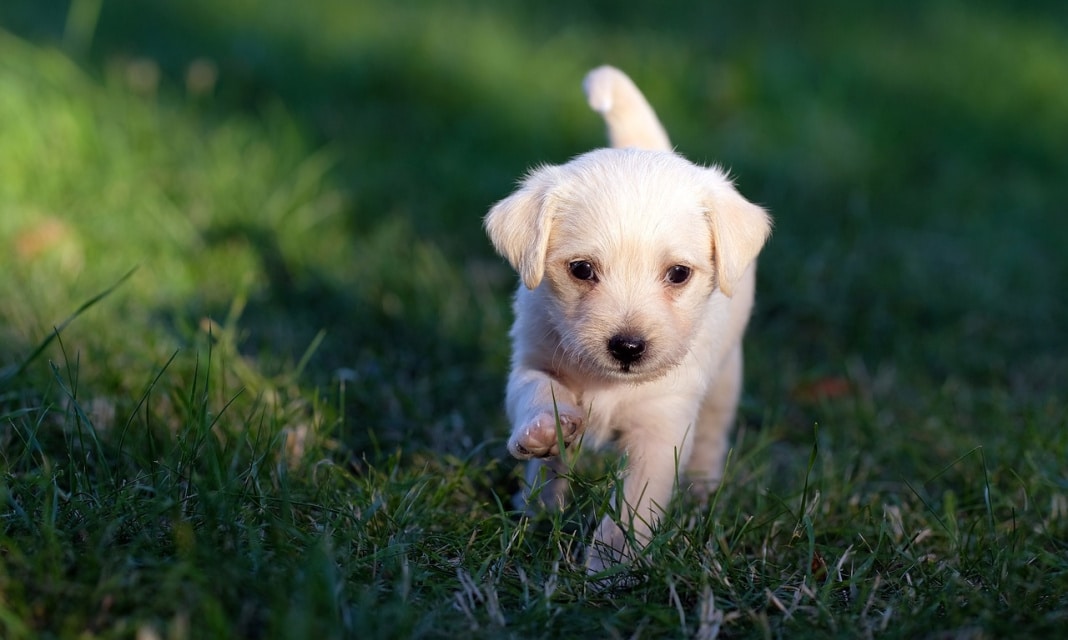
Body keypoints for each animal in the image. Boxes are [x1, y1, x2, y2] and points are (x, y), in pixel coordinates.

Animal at [482, 65, 768, 572]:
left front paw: (610, 567)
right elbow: (537, 392)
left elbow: (632, 507)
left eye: (679, 274)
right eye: (581, 269)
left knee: (712, 437)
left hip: (726, 381)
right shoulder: (533, 360)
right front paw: (543, 431)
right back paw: (536, 506)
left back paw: (701, 491)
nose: (629, 347)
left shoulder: (661, 429)